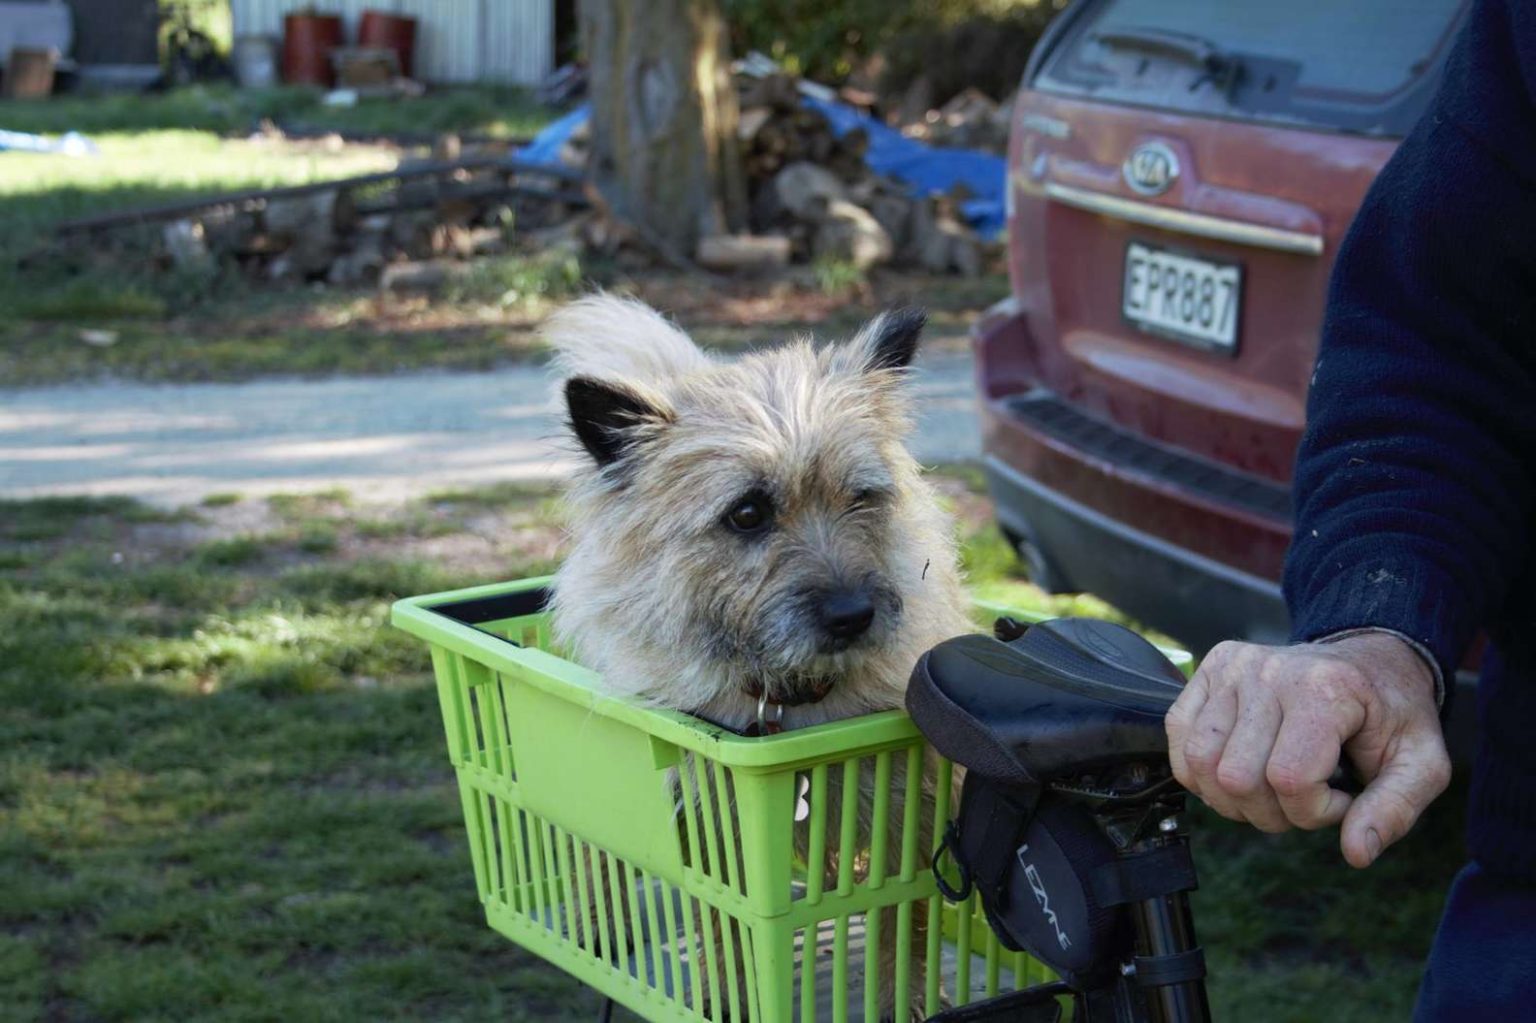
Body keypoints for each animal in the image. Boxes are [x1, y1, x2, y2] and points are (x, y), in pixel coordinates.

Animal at [546, 293, 964, 1013]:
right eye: (747, 513)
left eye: (861, 496)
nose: (853, 615)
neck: (791, 695)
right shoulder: (716, 824)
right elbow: (723, 923)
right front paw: (727, 996)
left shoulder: (906, 810)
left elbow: (902, 915)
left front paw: (903, 998)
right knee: (598, 847)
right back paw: (599, 919)